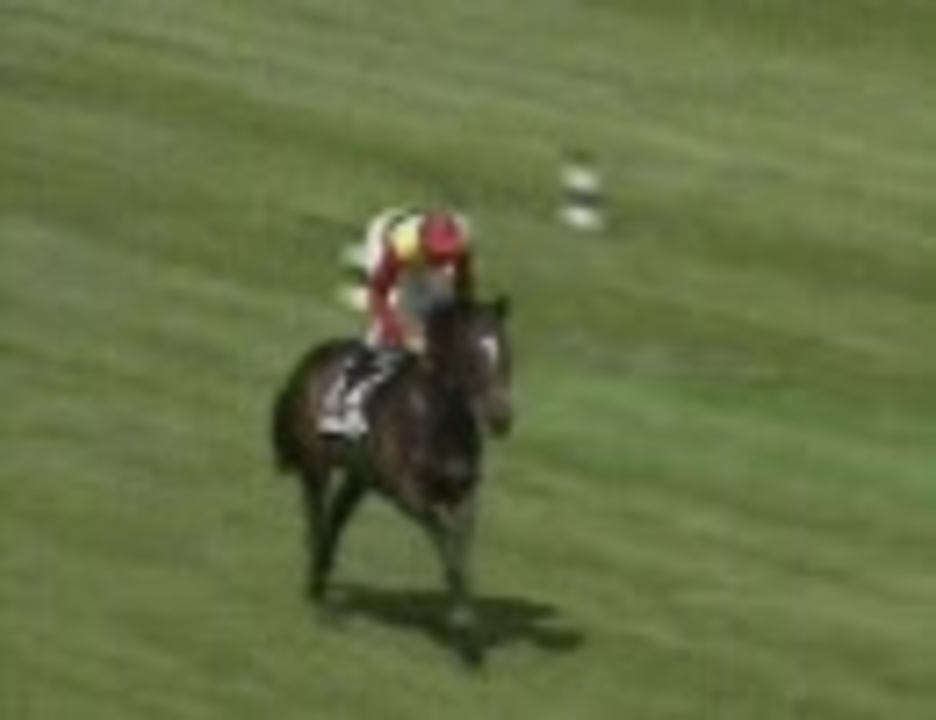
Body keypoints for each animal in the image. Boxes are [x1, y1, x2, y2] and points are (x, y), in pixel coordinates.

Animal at [270, 296, 514, 666]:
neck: (435, 418)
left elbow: (460, 555)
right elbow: (445, 544)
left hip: (359, 476)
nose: (502, 418)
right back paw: (318, 598)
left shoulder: (464, 495)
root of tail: (311, 360)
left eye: (506, 351)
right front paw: (462, 628)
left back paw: (321, 577)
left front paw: (468, 637)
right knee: (317, 519)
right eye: (474, 352)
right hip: (317, 466)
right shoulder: (410, 496)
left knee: (335, 520)